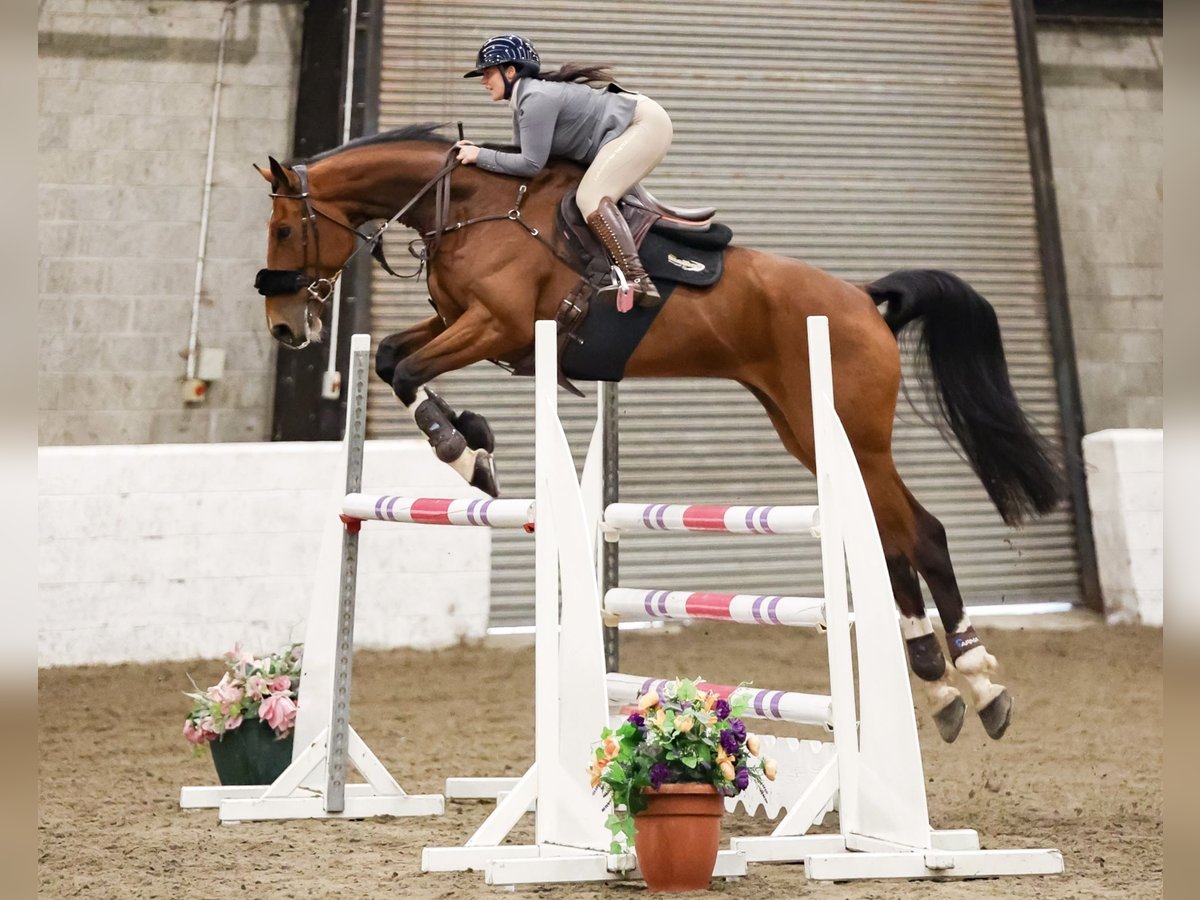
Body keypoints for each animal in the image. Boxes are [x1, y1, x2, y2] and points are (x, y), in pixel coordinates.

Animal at [253, 127, 1060, 748]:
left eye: (285, 229)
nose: (286, 328)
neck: (473, 210)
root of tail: (863, 298)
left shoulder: (497, 326)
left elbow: (410, 367)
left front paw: (463, 451)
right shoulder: (462, 324)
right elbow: (393, 358)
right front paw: (475, 446)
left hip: (850, 434)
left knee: (920, 534)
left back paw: (978, 684)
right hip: (807, 429)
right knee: (891, 539)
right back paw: (941, 687)